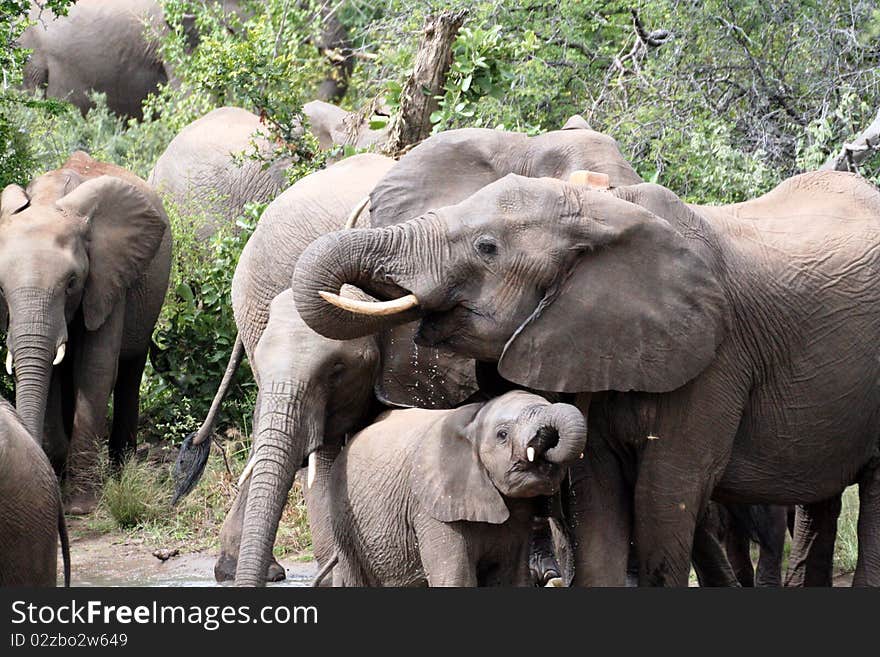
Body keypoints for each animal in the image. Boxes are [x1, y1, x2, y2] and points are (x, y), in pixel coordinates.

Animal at [0, 150, 171, 512]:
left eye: (71, 283)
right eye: (1, 289)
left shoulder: (108, 277)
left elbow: (95, 369)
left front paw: (81, 506)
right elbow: (50, 372)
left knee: (130, 369)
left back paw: (121, 471)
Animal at [312, 392, 588, 588]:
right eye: (502, 435)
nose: (545, 437)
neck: (474, 420)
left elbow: (509, 577)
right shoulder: (432, 509)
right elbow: (457, 579)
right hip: (345, 522)